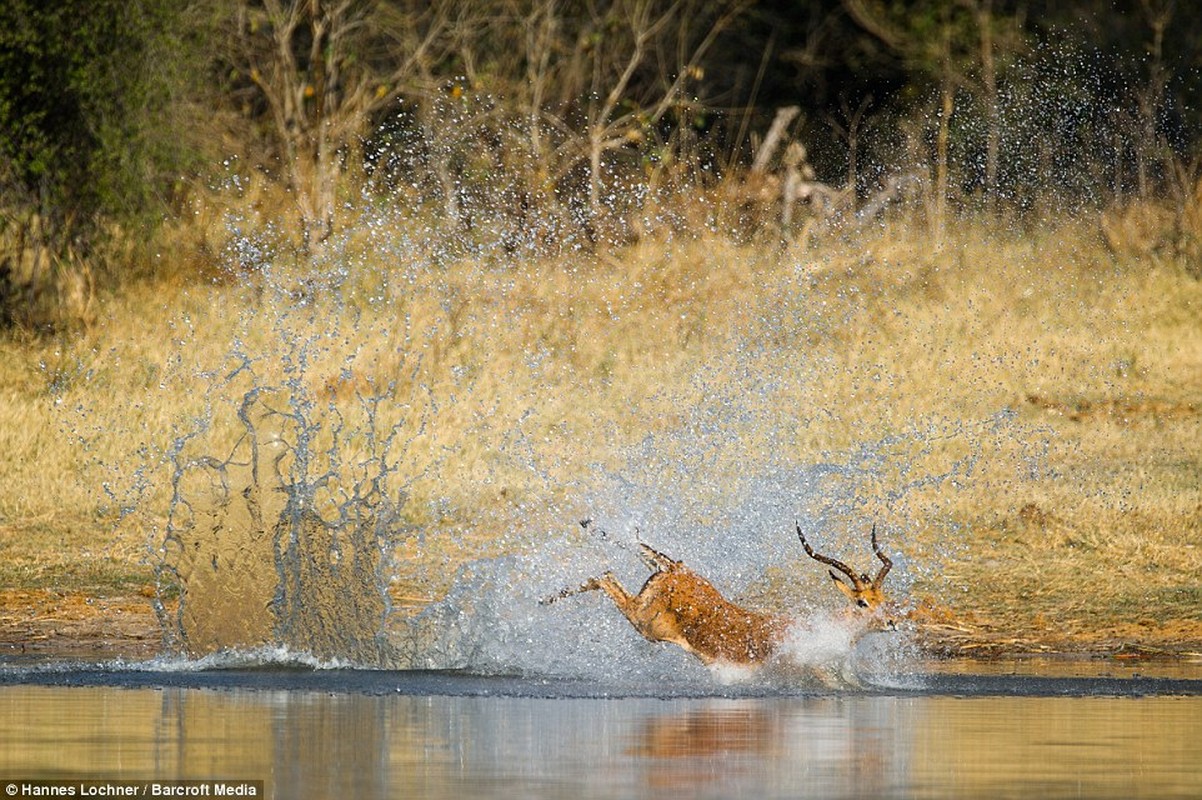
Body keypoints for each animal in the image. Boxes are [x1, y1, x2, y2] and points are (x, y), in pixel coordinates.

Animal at [543, 521, 894, 663]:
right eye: (862, 602)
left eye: (884, 599)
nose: (892, 623)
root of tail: (676, 572)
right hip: (645, 624)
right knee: (605, 575)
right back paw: (546, 598)